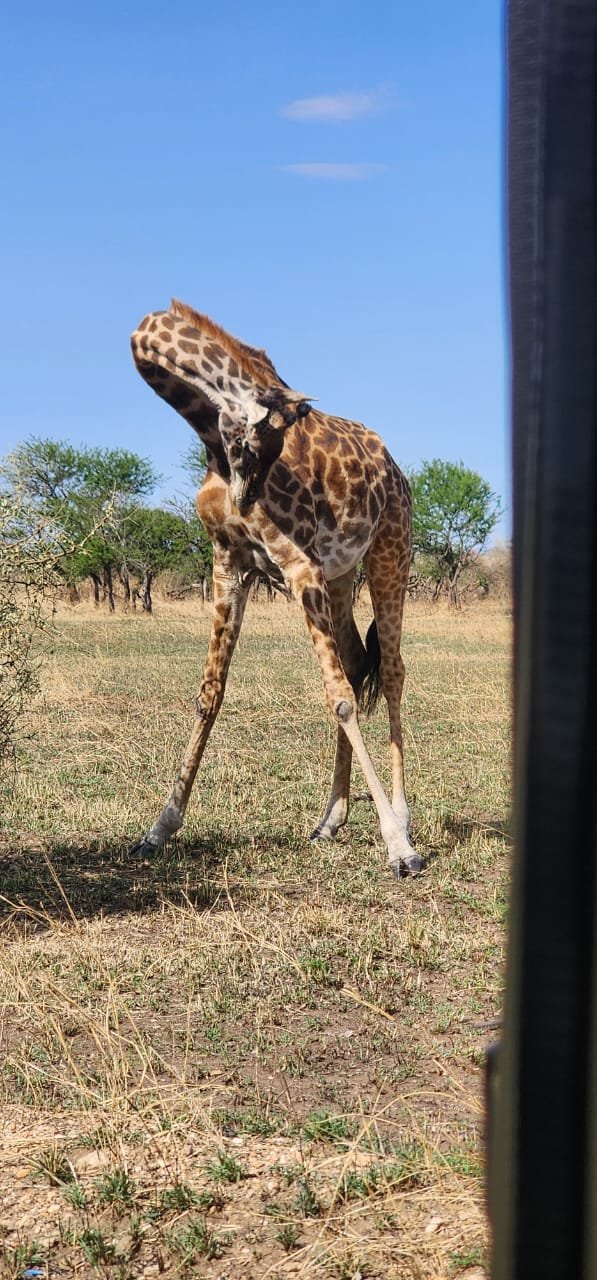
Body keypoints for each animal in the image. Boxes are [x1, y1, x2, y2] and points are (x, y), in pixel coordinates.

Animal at [130, 300, 422, 878]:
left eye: (271, 444)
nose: (246, 499)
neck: (207, 439)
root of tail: (394, 469)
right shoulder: (230, 564)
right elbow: (210, 694)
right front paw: (158, 830)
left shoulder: (296, 564)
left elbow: (339, 699)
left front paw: (398, 846)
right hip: (340, 574)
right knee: (356, 662)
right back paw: (329, 821)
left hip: (388, 551)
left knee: (392, 671)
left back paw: (401, 820)